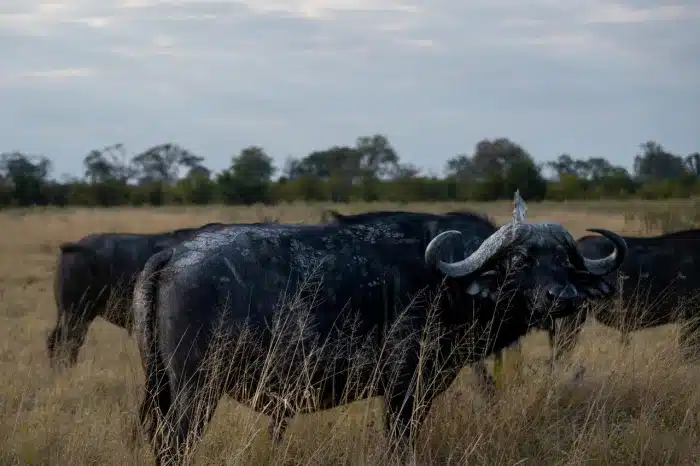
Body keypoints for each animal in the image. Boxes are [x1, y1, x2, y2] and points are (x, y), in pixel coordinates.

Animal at [134, 195, 628, 464]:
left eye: (563, 260)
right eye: (523, 260)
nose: (564, 297)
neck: (446, 282)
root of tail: (174, 254)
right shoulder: (405, 390)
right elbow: (399, 444)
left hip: (162, 388)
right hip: (196, 392)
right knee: (175, 445)